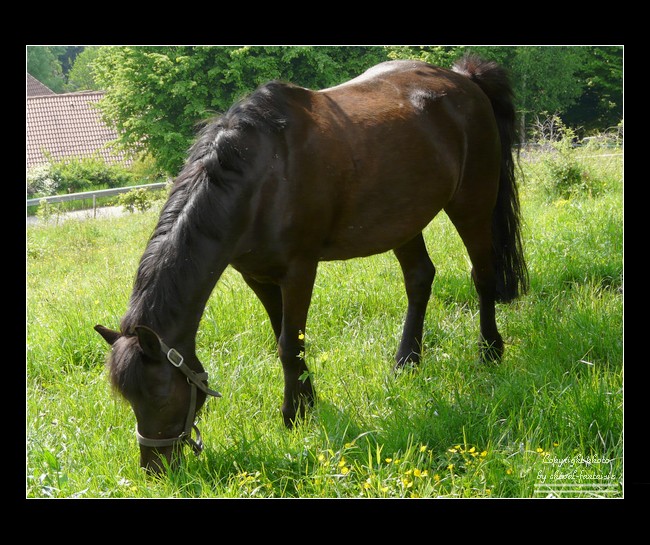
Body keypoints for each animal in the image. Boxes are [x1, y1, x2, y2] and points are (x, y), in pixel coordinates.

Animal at [93, 55, 528, 472]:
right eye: (129, 398)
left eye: (160, 395)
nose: (154, 469)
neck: (261, 177)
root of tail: (465, 79)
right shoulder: (258, 276)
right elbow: (284, 339)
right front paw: (307, 404)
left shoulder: (299, 270)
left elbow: (290, 343)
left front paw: (292, 415)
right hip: (404, 220)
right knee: (420, 279)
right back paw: (406, 362)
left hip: (472, 204)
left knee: (483, 276)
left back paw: (490, 352)